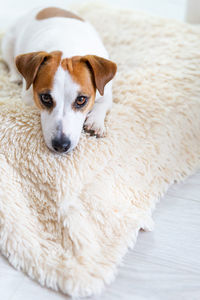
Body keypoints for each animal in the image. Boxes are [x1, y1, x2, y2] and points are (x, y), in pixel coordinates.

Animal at [1, 6, 117, 152]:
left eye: (81, 100)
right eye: (45, 98)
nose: (61, 145)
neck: (68, 48)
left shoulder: (106, 91)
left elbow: (103, 104)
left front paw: (95, 122)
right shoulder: (28, 96)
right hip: (8, 43)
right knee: (11, 61)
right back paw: (15, 76)